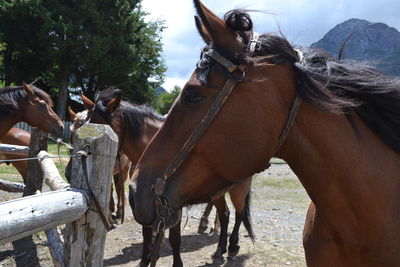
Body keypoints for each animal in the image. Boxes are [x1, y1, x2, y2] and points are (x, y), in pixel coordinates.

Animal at [83, 89, 256, 264]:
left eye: (103, 128)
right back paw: (219, 249)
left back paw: (232, 247)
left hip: (238, 189)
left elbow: (175, 238)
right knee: (225, 214)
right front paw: (146, 258)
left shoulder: (173, 204)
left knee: (239, 213)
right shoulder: (143, 201)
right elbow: (147, 234)